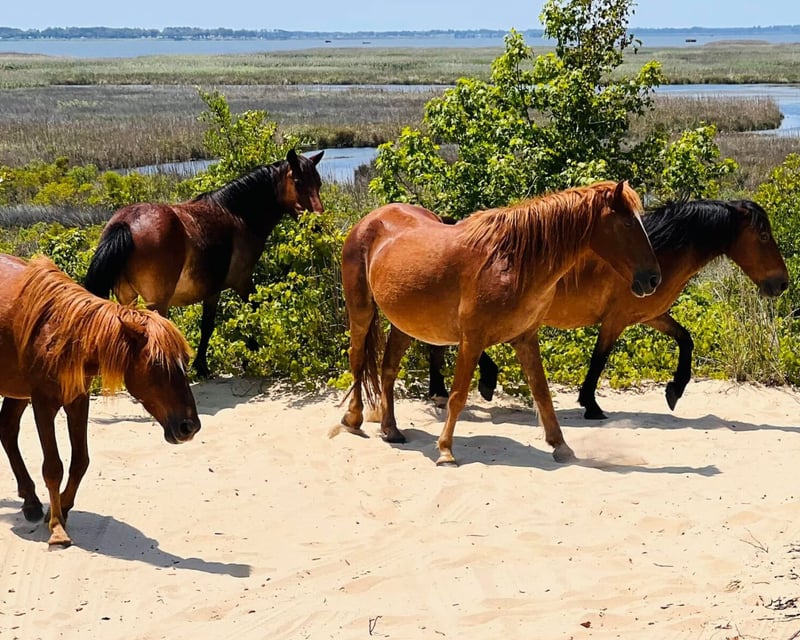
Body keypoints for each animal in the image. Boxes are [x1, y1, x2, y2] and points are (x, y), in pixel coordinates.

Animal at [0, 254, 200, 547]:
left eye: (185, 361)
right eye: (156, 364)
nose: (190, 427)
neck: (62, 335)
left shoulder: (77, 401)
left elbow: (80, 462)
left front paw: (61, 509)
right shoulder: (43, 404)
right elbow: (53, 467)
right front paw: (57, 528)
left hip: (17, 392)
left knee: (7, 431)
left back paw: (31, 502)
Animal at [84, 149, 325, 377]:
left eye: (318, 183)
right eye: (298, 182)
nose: (318, 224)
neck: (237, 214)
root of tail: (125, 224)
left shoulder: (213, 290)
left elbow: (208, 325)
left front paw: (202, 365)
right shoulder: (241, 282)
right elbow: (250, 313)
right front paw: (252, 352)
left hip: (127, 298)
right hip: (157, 304)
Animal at [333, 180, 661, 466]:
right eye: (628, 224)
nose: (652, 279)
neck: (512, 264)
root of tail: (370, 220)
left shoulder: (526, 338)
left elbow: (542, 394)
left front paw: (561, 446)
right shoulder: (471, 340)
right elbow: (457, 396)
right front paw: (445, 451)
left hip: (406, 323)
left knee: (388, 369)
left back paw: (391, 429)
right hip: (361, 312)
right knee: (358, 359)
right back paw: (353, 418)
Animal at [428, 198, 790, 418]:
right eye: (763, 234)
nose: (782, 283)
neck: (657, 254)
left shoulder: (649, 315)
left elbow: (685, 339)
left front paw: (674, 390)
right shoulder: (615, 319)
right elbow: (599, 359)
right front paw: (591, 404)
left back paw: (441, 390)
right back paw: (478, 383)